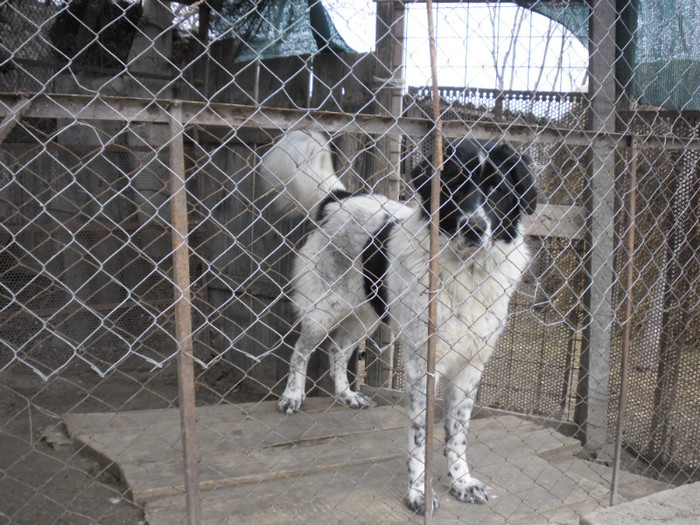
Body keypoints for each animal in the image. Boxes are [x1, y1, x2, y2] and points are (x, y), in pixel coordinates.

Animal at [260, 129, 540, 512]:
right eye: (454, 185)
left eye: (498, 188)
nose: (473, 228)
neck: (465, 273)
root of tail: (341, 198)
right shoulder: (423, 365)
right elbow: (421, 438)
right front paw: (419, 491)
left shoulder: (471, 365)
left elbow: (457, 434)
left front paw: (461, 482)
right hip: (323, 310)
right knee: (301, 351)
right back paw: (292, 396)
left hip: (367, 315)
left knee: (337, 351)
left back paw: (346, 395)